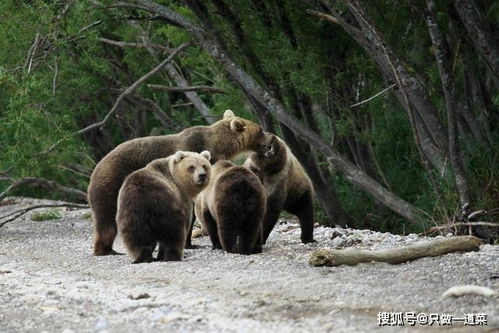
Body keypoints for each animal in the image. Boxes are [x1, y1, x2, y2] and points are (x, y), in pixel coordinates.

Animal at [87, 110, 274, 255]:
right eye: (260, 129)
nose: (272, 137)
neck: (217, 147)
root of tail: (97, 167)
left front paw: (191, 243)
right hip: (111, 183)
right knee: (107, 220)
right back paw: (107, 250)